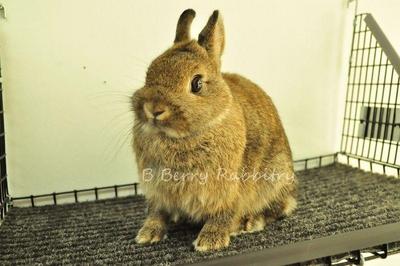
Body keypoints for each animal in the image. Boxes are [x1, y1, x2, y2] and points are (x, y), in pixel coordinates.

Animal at [132, 8, 296, 251]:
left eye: (196, 83)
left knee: (281, 207)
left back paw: (249, 223)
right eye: (149, 73)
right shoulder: (157, 189)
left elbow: (223, 213)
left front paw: (209, 241)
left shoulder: (229, 188)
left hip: (275, 177)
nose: (153, 109)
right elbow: (157, 212)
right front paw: (147, 234)